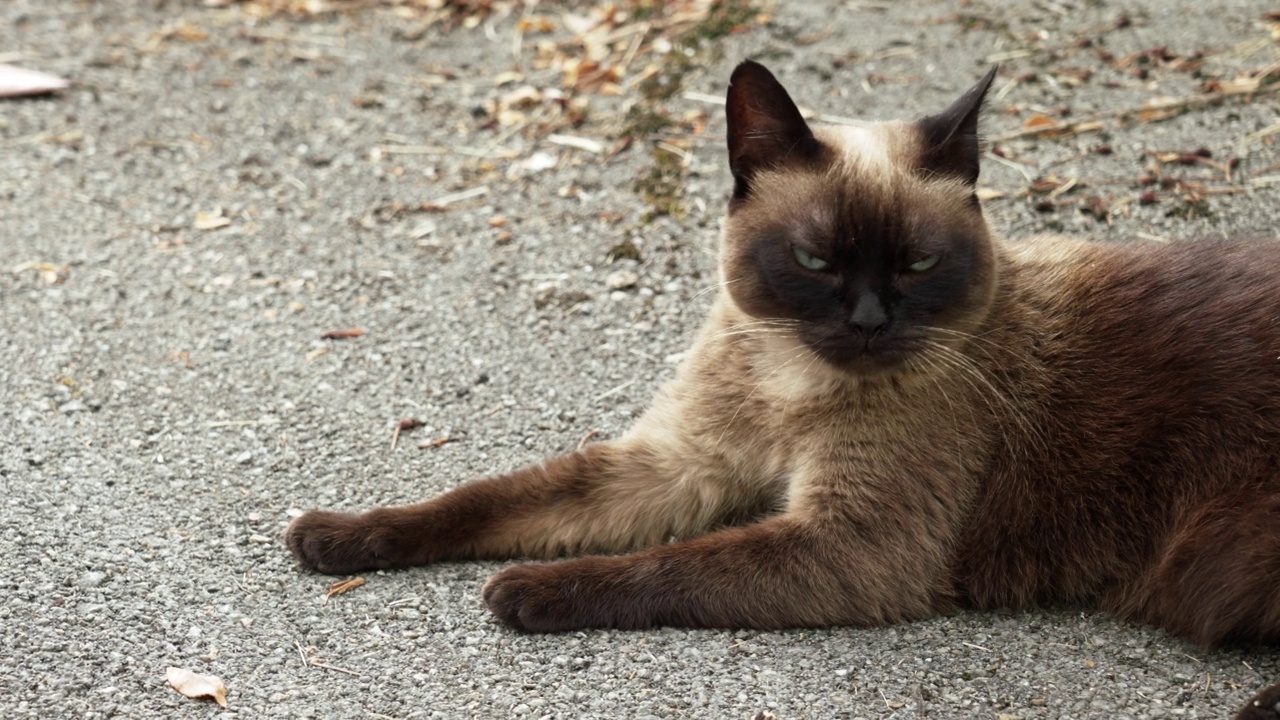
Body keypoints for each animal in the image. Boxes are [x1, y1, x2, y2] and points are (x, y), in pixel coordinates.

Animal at [290, 60, 1280, 712]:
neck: (787, 384)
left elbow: (663, 568)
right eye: (813, 261)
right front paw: (332, 538)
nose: (870, 322)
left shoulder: (853, 545)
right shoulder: (678, 465)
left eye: (918, 264)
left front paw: (521, 592)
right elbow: (478, 500)